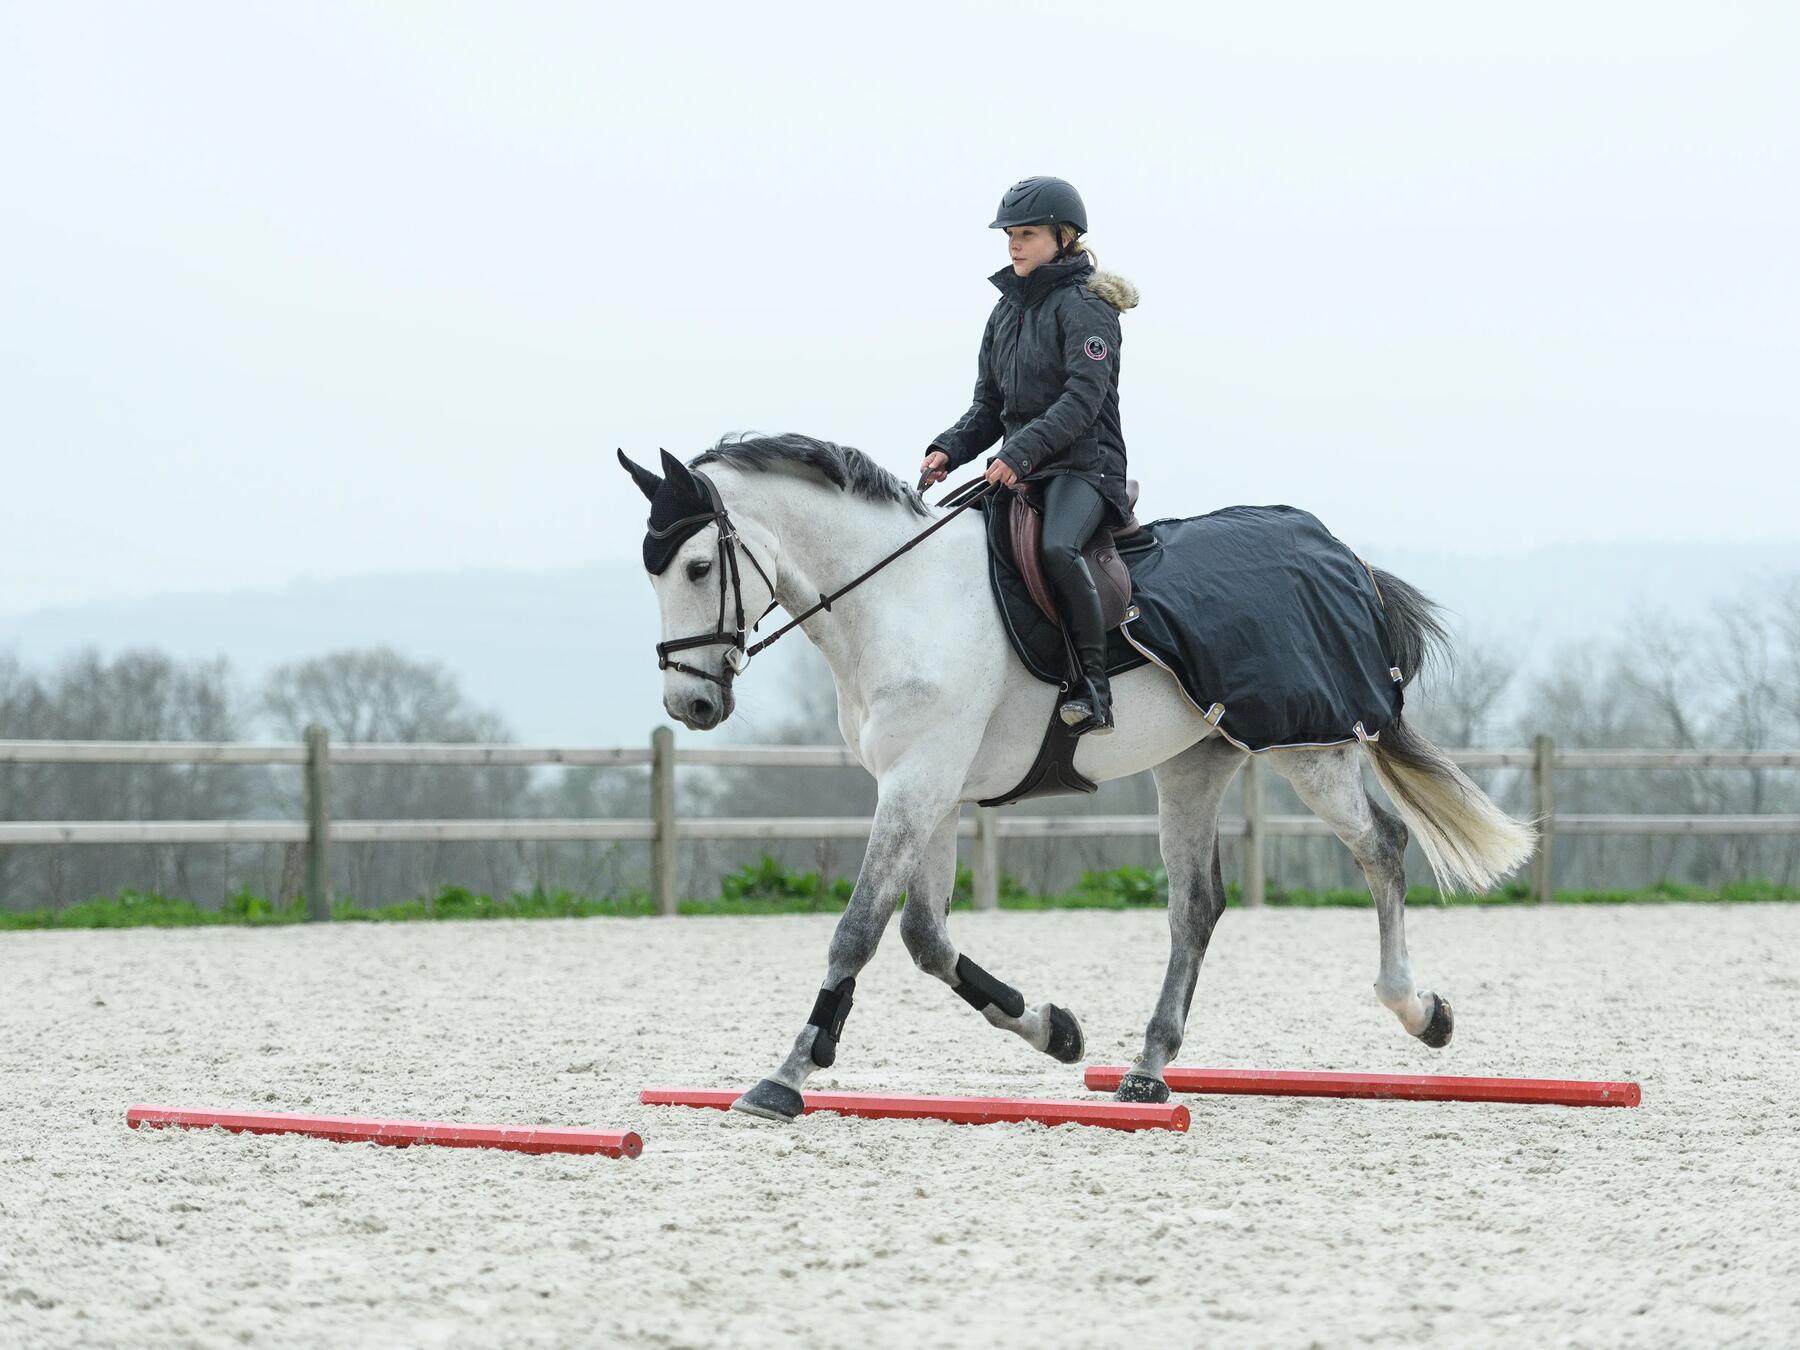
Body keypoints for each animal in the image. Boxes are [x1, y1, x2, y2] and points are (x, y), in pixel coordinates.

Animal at [619, 433, 1533, 1123]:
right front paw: (1056, 1031)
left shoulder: (919, 781)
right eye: (652, 573)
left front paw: (786, 1075)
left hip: (1310, 749)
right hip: (1196, 763)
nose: (690, 703)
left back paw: (1421, 1012)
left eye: (696, 567)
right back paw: (1148, 1069)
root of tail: (1344, 557)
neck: (901, 599)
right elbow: (924, 936)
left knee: (1382, 847)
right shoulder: (932, 790)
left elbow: (859, 930)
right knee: (1196, 906)